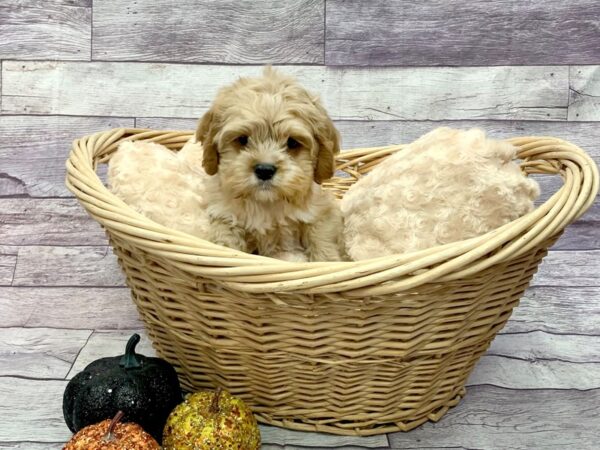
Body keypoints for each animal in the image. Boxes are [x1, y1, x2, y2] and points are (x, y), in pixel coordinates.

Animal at [199, 67, 344, 264]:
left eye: (292, 143)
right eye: (242, 139)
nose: (264, 170)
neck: (266, 204)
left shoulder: (321, 212)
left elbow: (321, 239)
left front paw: (327, 261)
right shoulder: (224, 214)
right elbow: (225, 240)